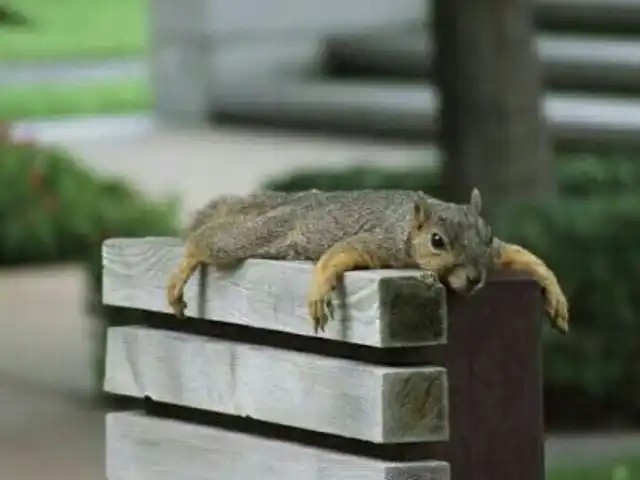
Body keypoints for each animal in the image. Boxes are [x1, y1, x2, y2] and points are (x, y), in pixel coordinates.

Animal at [166, 188, 568, 334]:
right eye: (437, 241)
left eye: (486, 235)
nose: (474, 278)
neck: (406, 228)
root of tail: (288, 202)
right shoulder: (379, 243)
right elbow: (338, 254)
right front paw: (319, 290)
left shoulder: (497, 251)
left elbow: (520, 254)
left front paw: (554, 293)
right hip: (256, 237)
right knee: (206, 242)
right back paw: (181, 271)